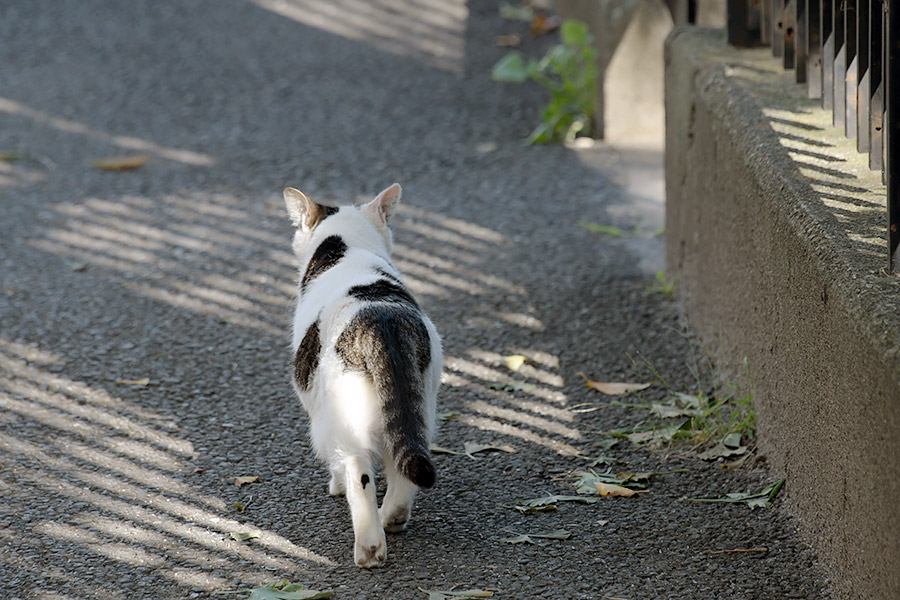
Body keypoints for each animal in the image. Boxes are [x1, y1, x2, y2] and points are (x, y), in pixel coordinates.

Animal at [284, 183, 442, 568]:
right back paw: (393, 518)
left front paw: (335, 485)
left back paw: (370, 546)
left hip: (339, 421)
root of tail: (381, 320)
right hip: (419, 406)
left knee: (358, 471)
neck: (347, 248)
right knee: (405, 465)